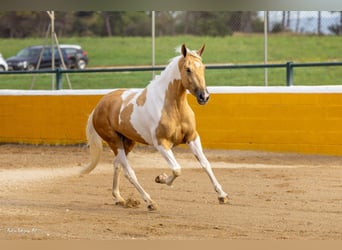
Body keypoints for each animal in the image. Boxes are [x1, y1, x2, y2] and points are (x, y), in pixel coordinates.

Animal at [80, 44, 228, 210]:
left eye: (203, 67)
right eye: (188, 69)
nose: (204, 97)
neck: (173, 107)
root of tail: (98, 107)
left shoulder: (192, 138)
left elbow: (205, 164)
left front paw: (222, 195)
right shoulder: (161, 143)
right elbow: (177, 169)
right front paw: (160, 178)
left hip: (128, 142)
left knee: (117, 165)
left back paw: (119, 198)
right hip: (114, 142)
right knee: (129, 172)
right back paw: (150, 202)